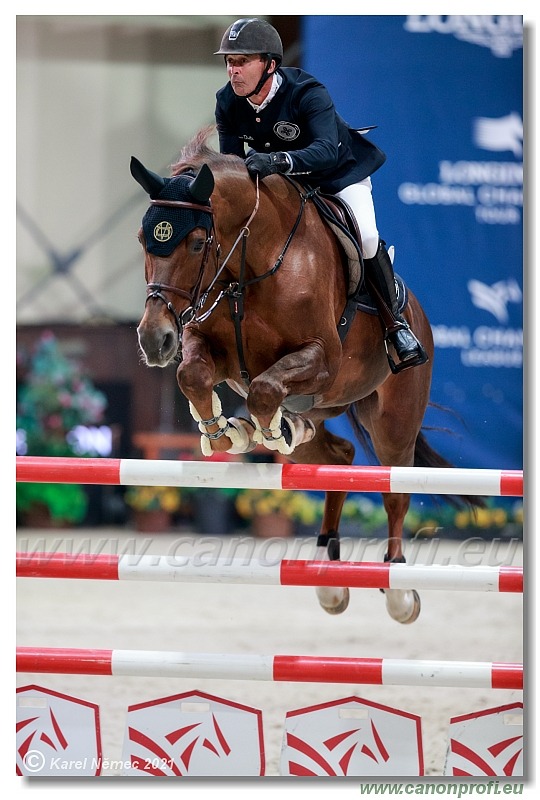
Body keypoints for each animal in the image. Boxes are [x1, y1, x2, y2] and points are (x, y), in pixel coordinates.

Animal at [131, 126, 476, 624]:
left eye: (197, 242)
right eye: (144, 238)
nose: (153, 339)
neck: (251, 264)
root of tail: (417, 311)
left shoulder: (321, 359)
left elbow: (263, 389)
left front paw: (264, 430)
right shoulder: (206, 342)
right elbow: (193, 375)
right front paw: (226, 433)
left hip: (393, 420)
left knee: (394, 488)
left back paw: (397, 588)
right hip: (331, 414)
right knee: (340, 457)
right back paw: (326, 571)